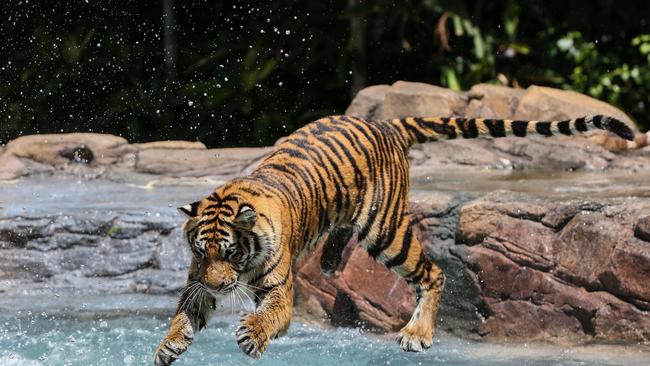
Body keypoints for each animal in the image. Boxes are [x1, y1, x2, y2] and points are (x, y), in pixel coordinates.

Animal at [151, 113, 628, 364]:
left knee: (433, 273)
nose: (217, 285)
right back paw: (329, 262)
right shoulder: (197, 283)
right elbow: (185, 314)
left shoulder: (279, 292)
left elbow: (268, 316)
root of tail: (385, 123)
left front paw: (252, 335)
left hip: (386, 233)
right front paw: (167, 346)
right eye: (201, 252)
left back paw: (417, 333)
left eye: (231, 252)